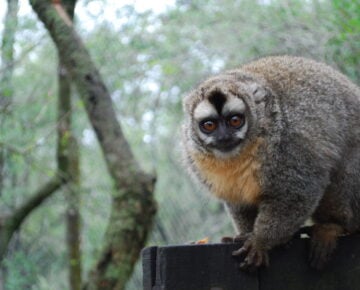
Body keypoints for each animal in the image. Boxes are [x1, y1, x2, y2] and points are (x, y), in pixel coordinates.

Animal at [181, 56, 360, 270]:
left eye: (235, 121)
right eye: (209, 125)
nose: (224, 137)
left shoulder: (287, 144)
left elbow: (298, 190)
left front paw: (260, 241)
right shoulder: (195, 157)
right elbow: (239, 202)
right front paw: (244, 234)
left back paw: (333, 226)